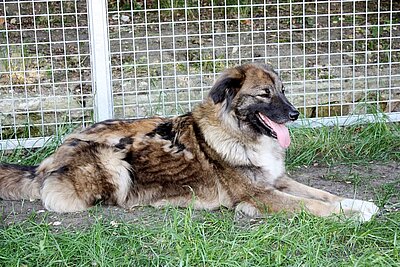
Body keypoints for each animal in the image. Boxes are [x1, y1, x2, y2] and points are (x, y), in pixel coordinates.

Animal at [0, 62, 378, 222]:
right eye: (264, 94)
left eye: (284, 91)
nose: (296, 113)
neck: (239, 133)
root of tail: (45, 163)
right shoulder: (260, 194)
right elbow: (312, 205)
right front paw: (351, 214)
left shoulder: (277, 179)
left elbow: (322, 193)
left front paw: (357, 203)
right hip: (113, 161)